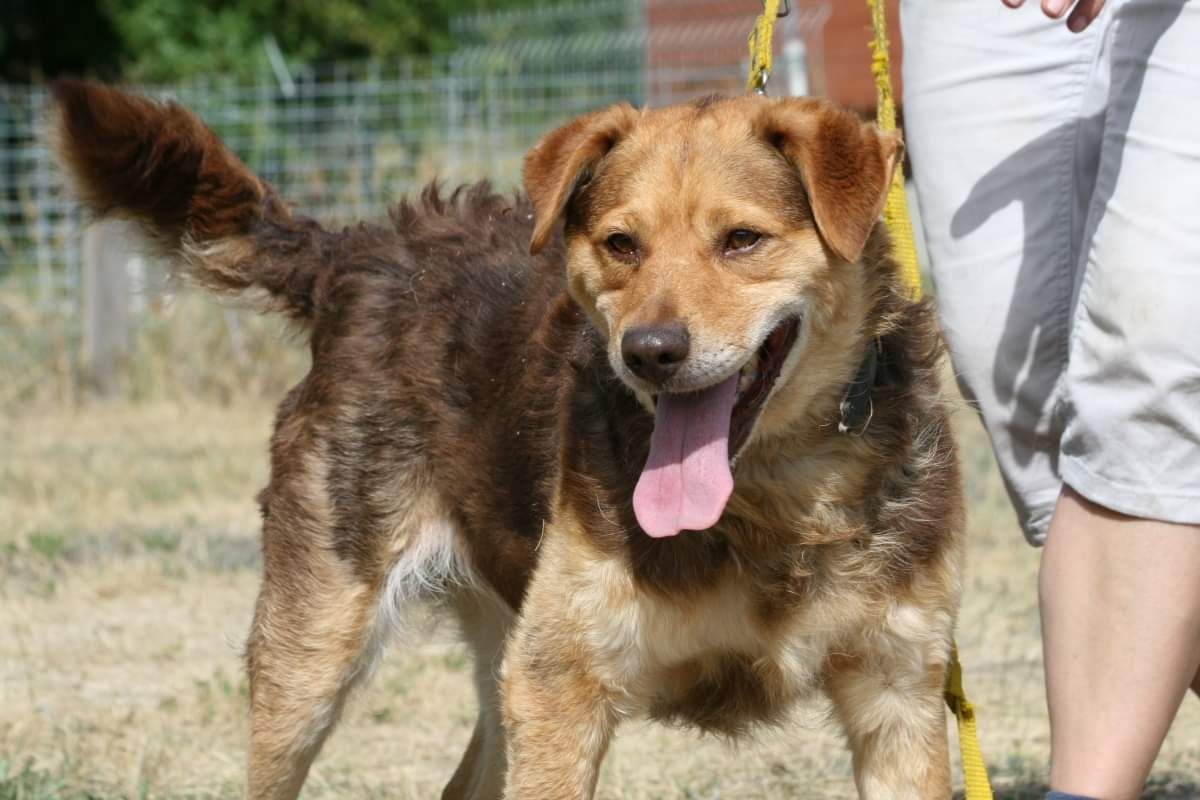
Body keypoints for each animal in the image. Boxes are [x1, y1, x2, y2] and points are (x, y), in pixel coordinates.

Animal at [54, 81, 964, 800]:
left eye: (741, 240)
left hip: (498, 641)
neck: (770, 496)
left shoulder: (899, 698)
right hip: (311, 655)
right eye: (621, 244)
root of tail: (359, 250)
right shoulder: (559, 687)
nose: (649, 351)